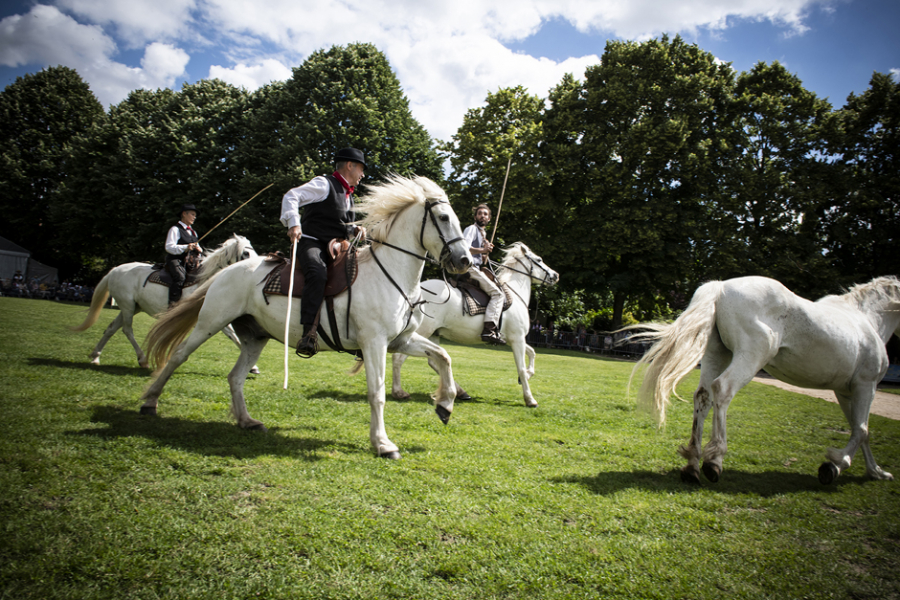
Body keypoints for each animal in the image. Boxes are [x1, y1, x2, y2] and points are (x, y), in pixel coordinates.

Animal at [71, 234, 256, 370]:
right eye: (245, 253)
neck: (205, 280)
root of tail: (115, 270)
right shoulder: (213, 314)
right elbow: (232, 334)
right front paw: (252, 366)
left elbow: (235, 336)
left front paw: (252, 367)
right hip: (127, 306)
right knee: (127, 329)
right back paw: (142, 359)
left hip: (132, 307)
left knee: (111, 328)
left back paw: (95, 357)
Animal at [141, 175, 472, 460]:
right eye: (444, 218)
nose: (465, 260)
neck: (389, 273)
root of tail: (229, 270)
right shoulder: (374, 343)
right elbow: (376, 392)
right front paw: (382, 443)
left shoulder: (400, 341)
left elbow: (443, 357)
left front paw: (445, 405)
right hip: (210, 323)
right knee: (178, 356)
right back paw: (149, 402)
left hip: (255, 336)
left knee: (235, 377)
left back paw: (247, 421)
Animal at [392, 244, 560, 408]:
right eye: (539, 259)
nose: (555, 275)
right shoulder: (517, 338)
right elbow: (521, 368)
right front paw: (530, 399)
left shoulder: (513, 339)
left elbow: (532, 353)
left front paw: (529, 374)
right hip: (420, 332)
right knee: (399, 357)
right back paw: (399, 392)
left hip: (434, 333)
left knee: (434, 360)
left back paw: (460, 392)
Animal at [632, 274, 900, 486]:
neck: (868, 318)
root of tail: (720, 287)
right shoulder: (865, 384)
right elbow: (862, 429)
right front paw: (834, 465)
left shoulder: (845, 391)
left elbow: (858, 428)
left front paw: (876, 472)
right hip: (752, 355)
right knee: (723, 389)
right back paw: (714, 460)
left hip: (717, 353)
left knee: (703, 397)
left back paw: (692, 465)